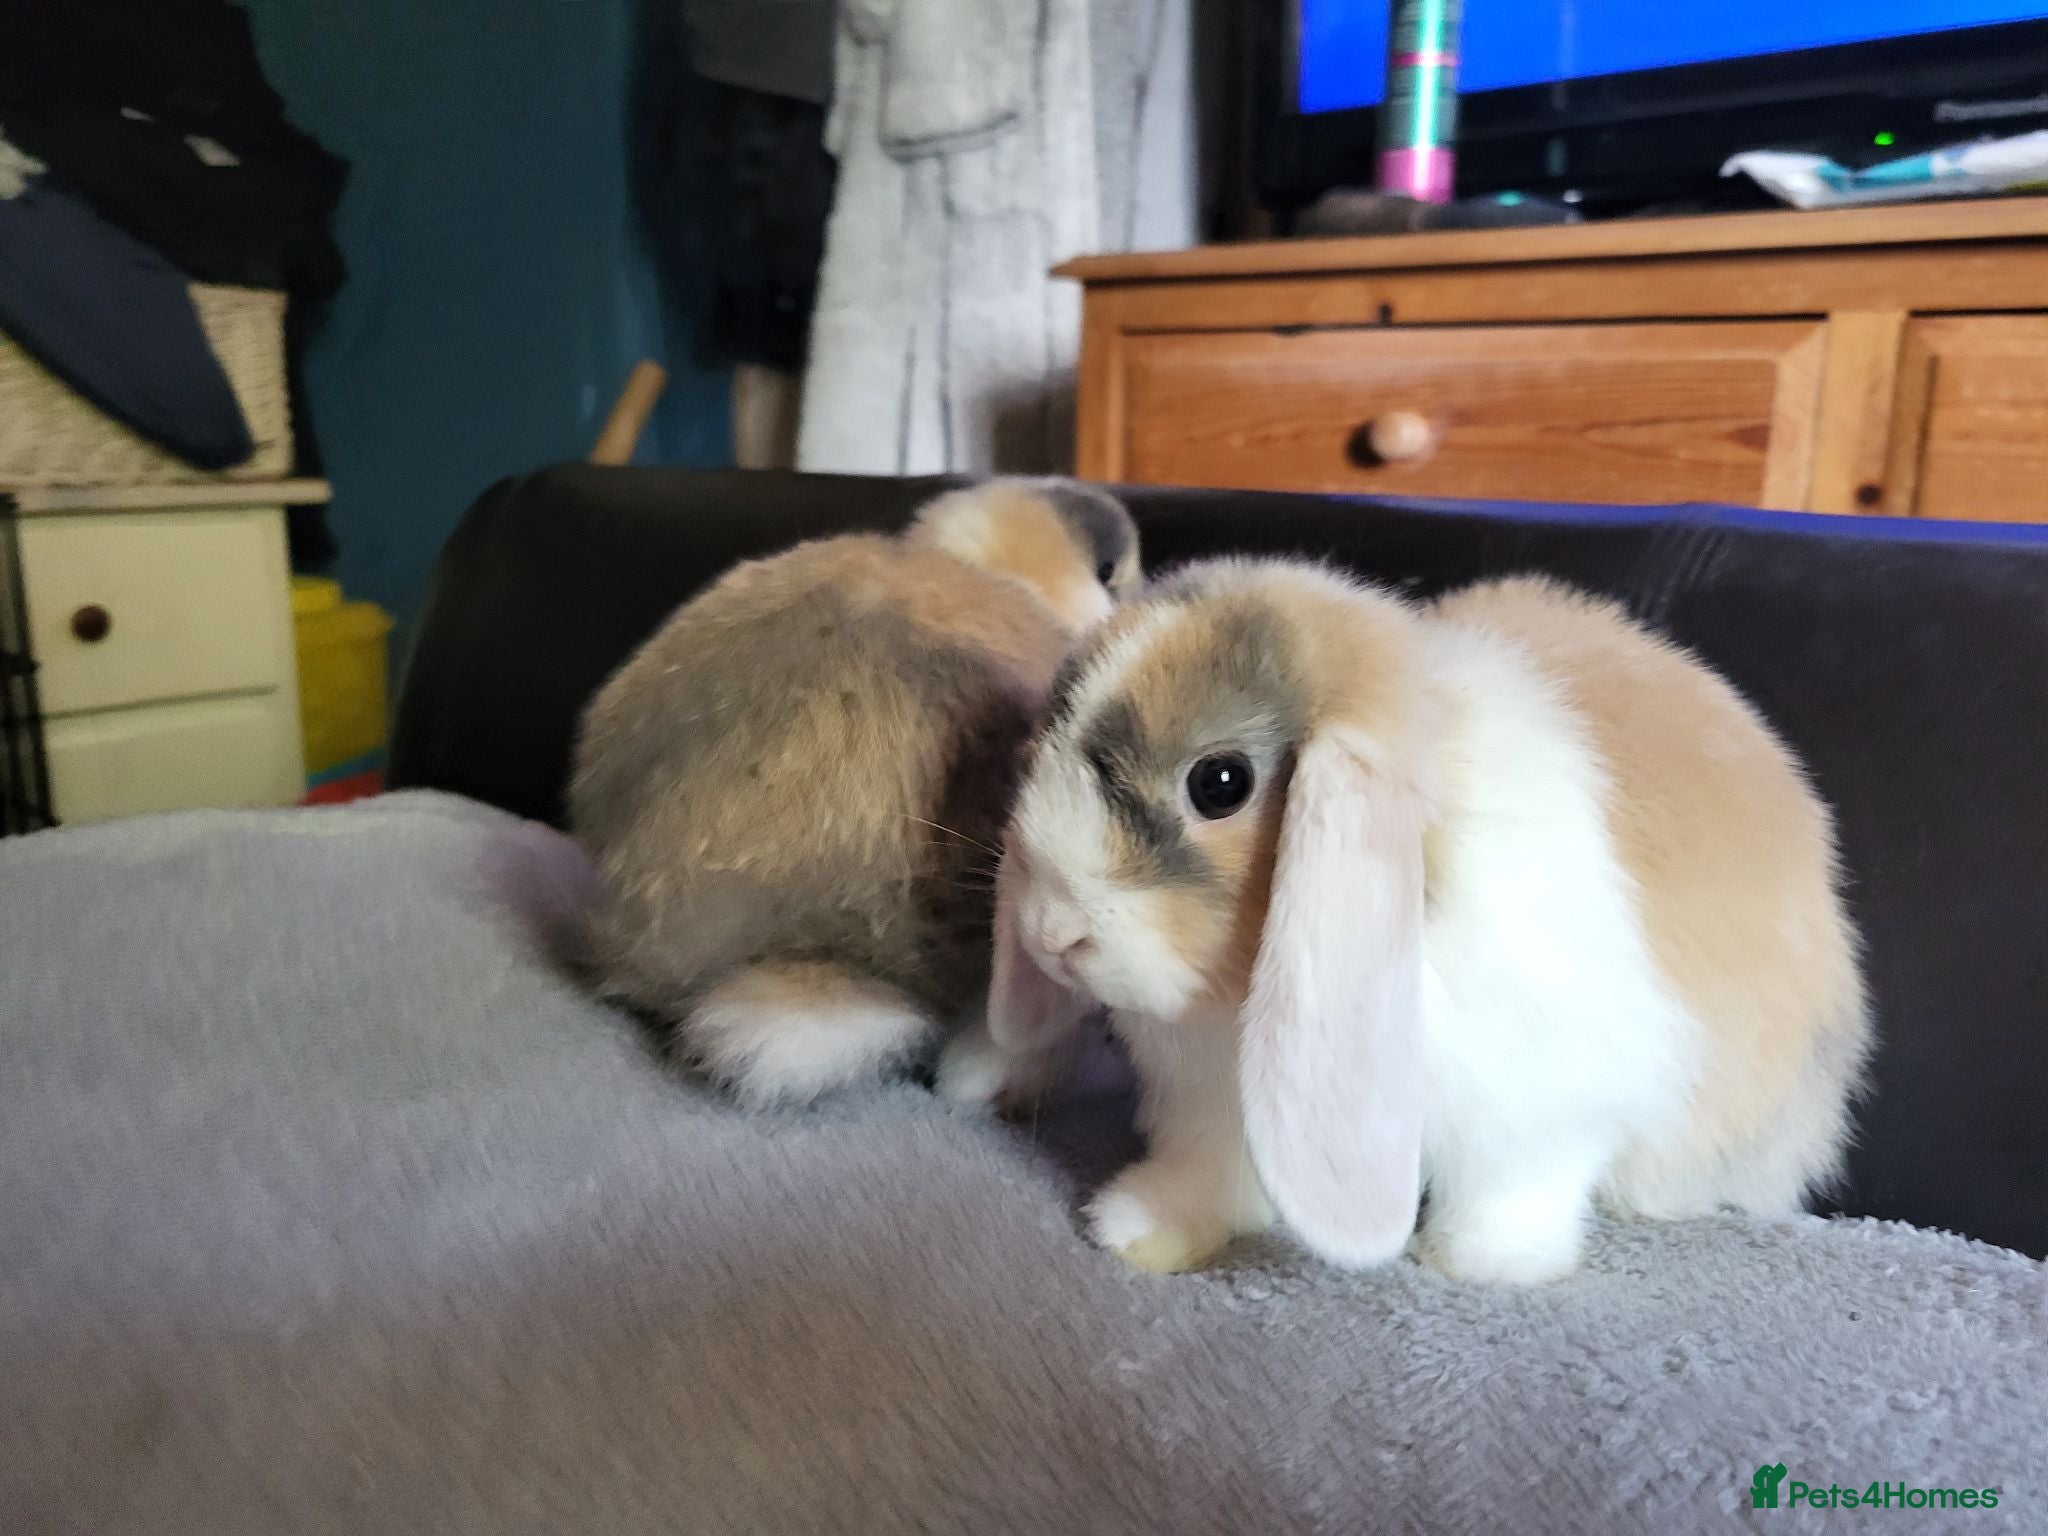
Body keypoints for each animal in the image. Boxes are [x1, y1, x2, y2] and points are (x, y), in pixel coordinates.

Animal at [962, 557, 1870, 1283]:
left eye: (1219, 783)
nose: (1051, 933)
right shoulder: (1215, 1105)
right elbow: (1209, 1168)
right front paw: (1136, 1228)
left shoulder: (1543, 1109)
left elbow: (1519, 1184)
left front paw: (1481, 1266)